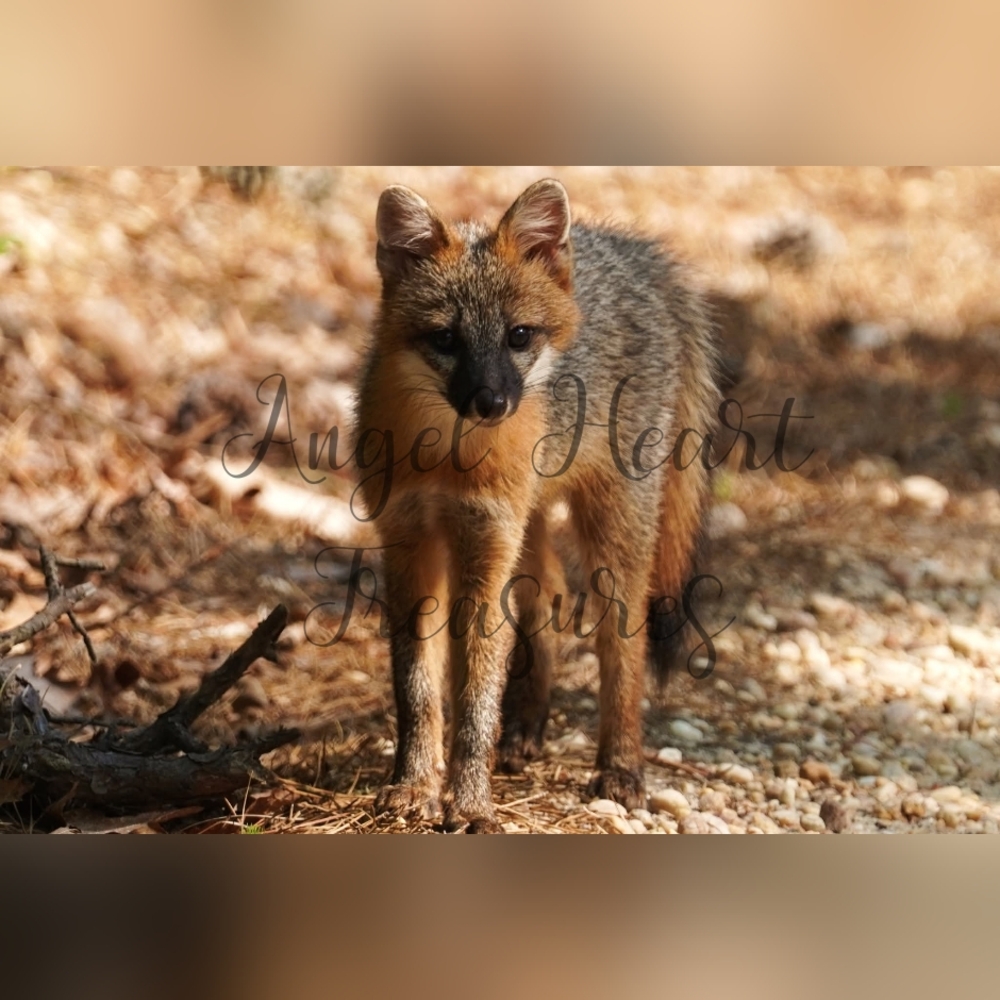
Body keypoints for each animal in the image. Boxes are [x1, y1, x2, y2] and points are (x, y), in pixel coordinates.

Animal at [354, 178, 719, 832]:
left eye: (518, 336)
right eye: (445, 339)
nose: (491, 402)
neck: (447, 457)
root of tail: (634, 251)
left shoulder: (486, 543)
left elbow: (475, 696)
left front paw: (471, 802)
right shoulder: (410, 544)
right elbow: (417, 689)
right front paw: (413, 786)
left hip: (612, 537)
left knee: (621, 646)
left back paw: (620, 768)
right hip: (531, 530)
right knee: (548, 592)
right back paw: (525, 727)